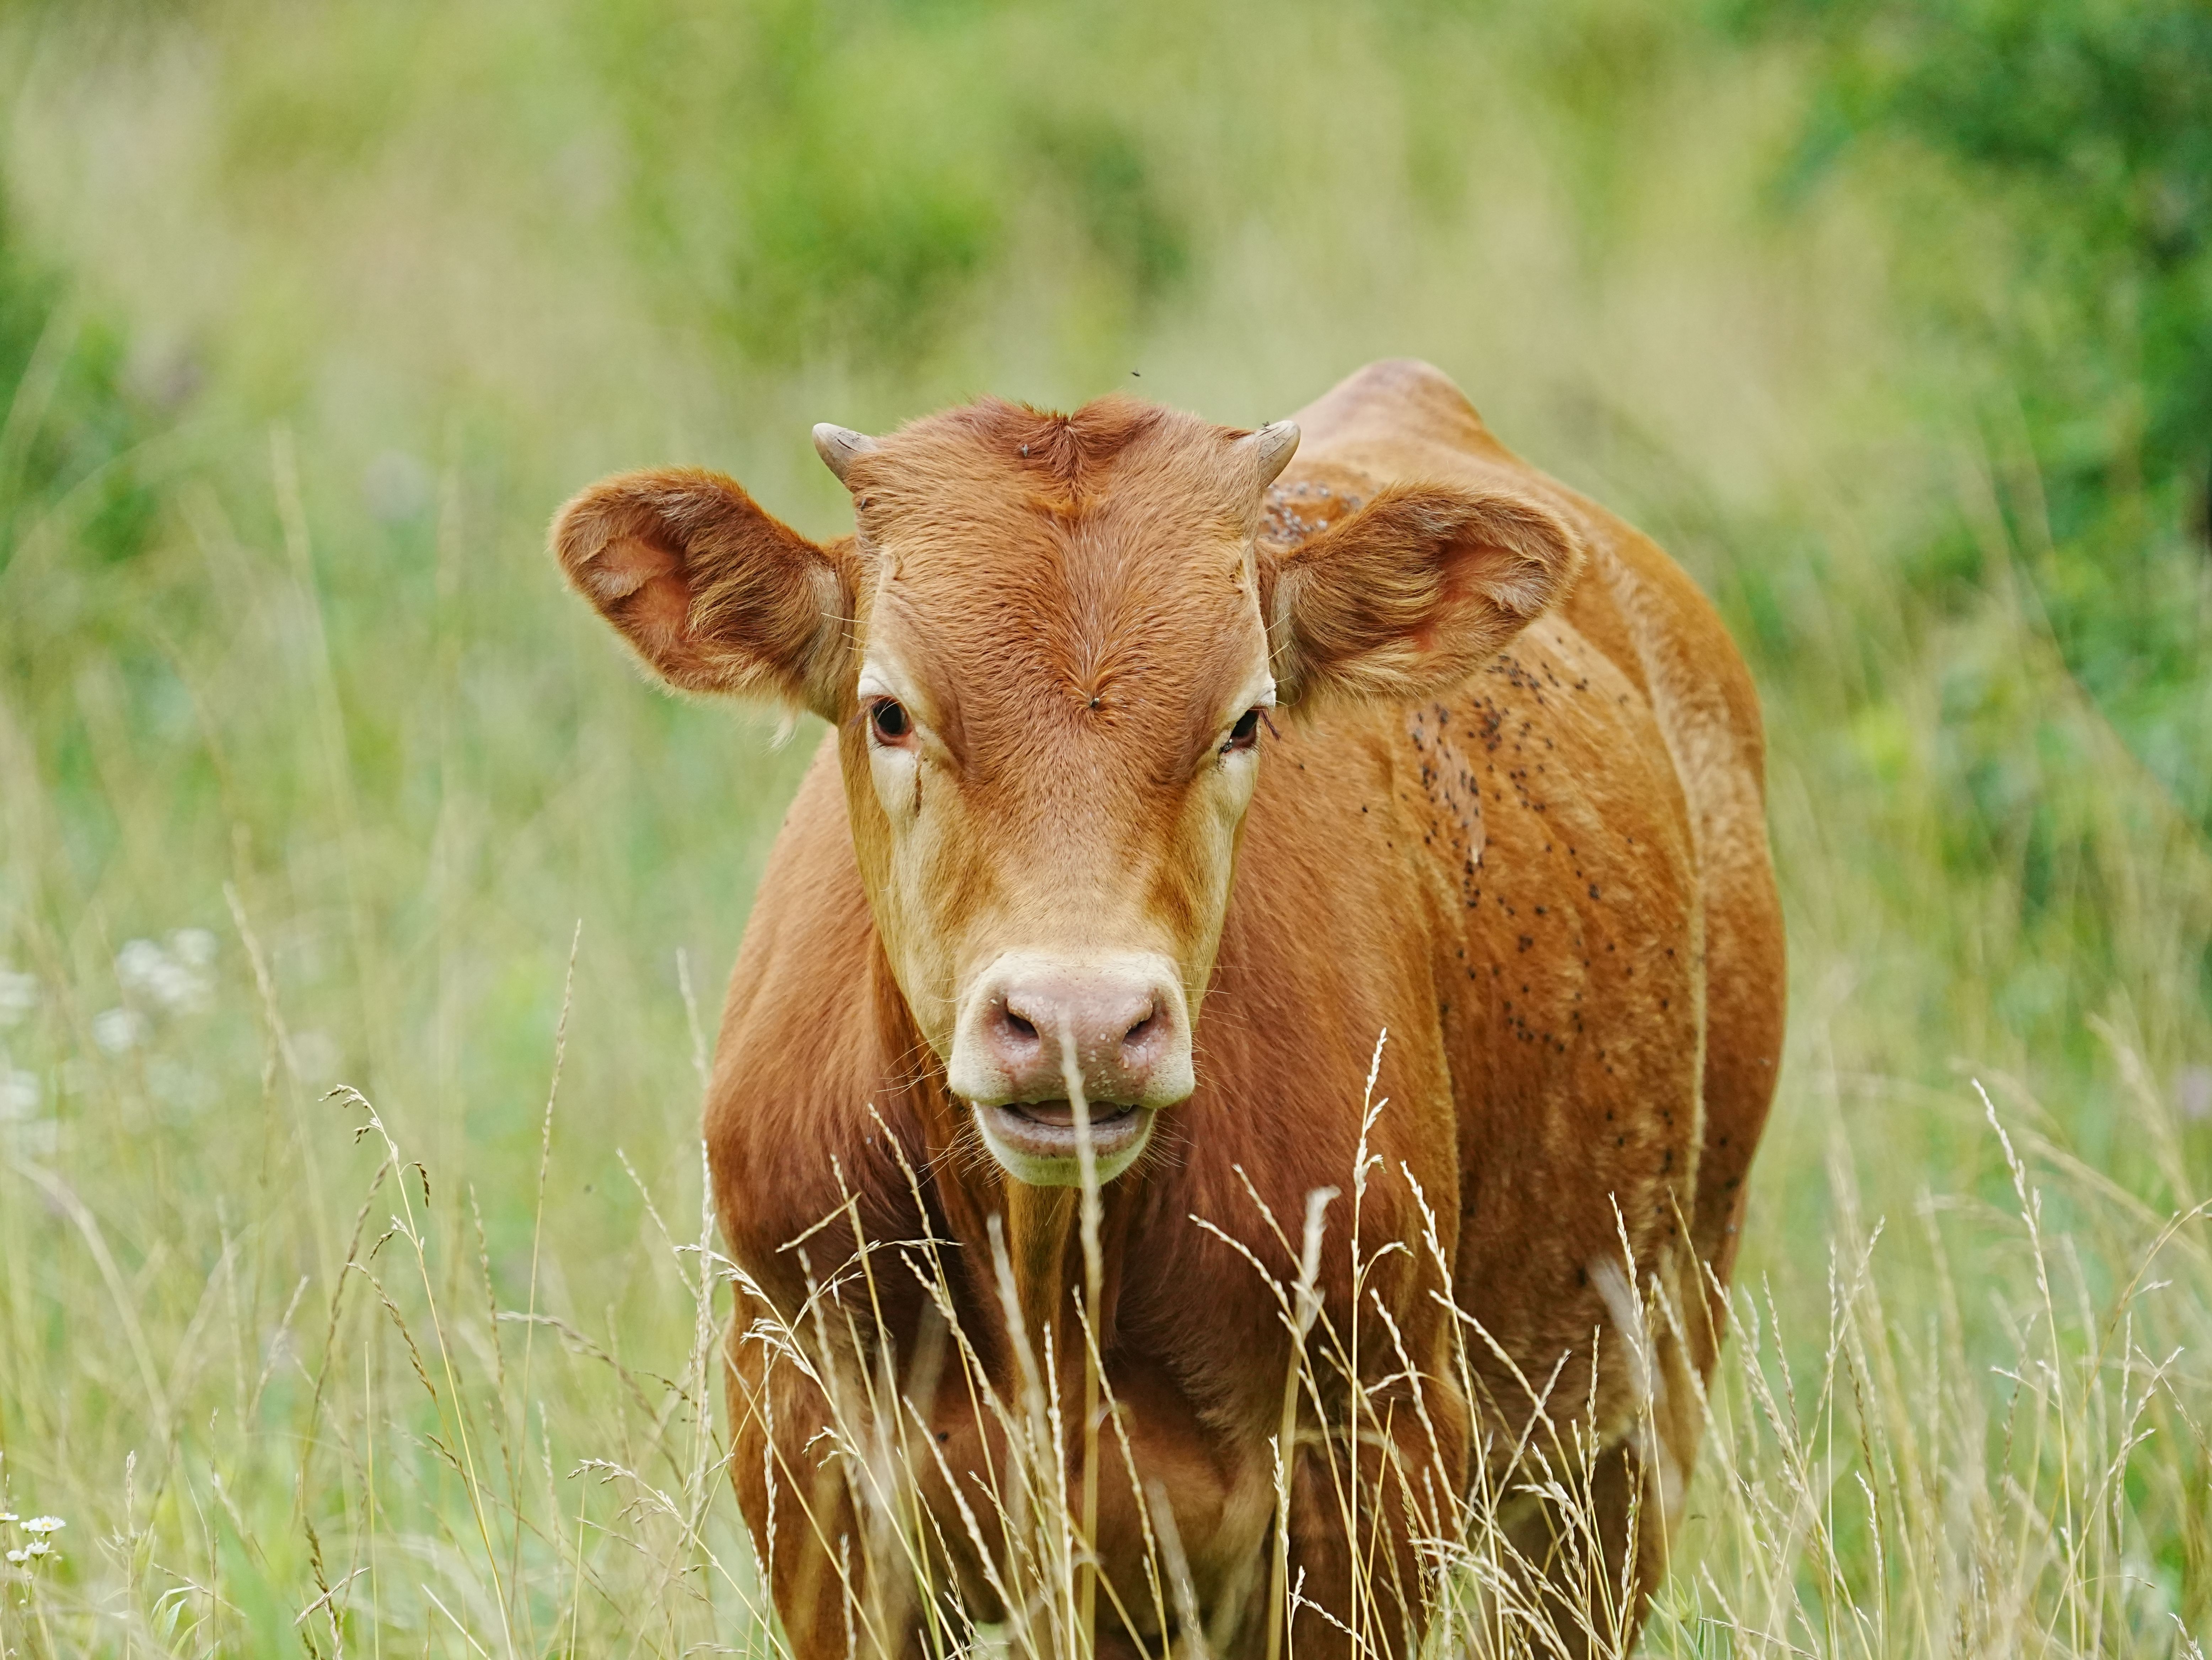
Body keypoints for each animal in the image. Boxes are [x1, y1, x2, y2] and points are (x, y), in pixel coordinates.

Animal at [553, 359, 1784, 1659]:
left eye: (1246, 719)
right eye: (889, 711)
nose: (1078, 1023)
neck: (1049, 1280)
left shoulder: (1376, 1465)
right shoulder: (809, 1456)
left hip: (1630, 1405)